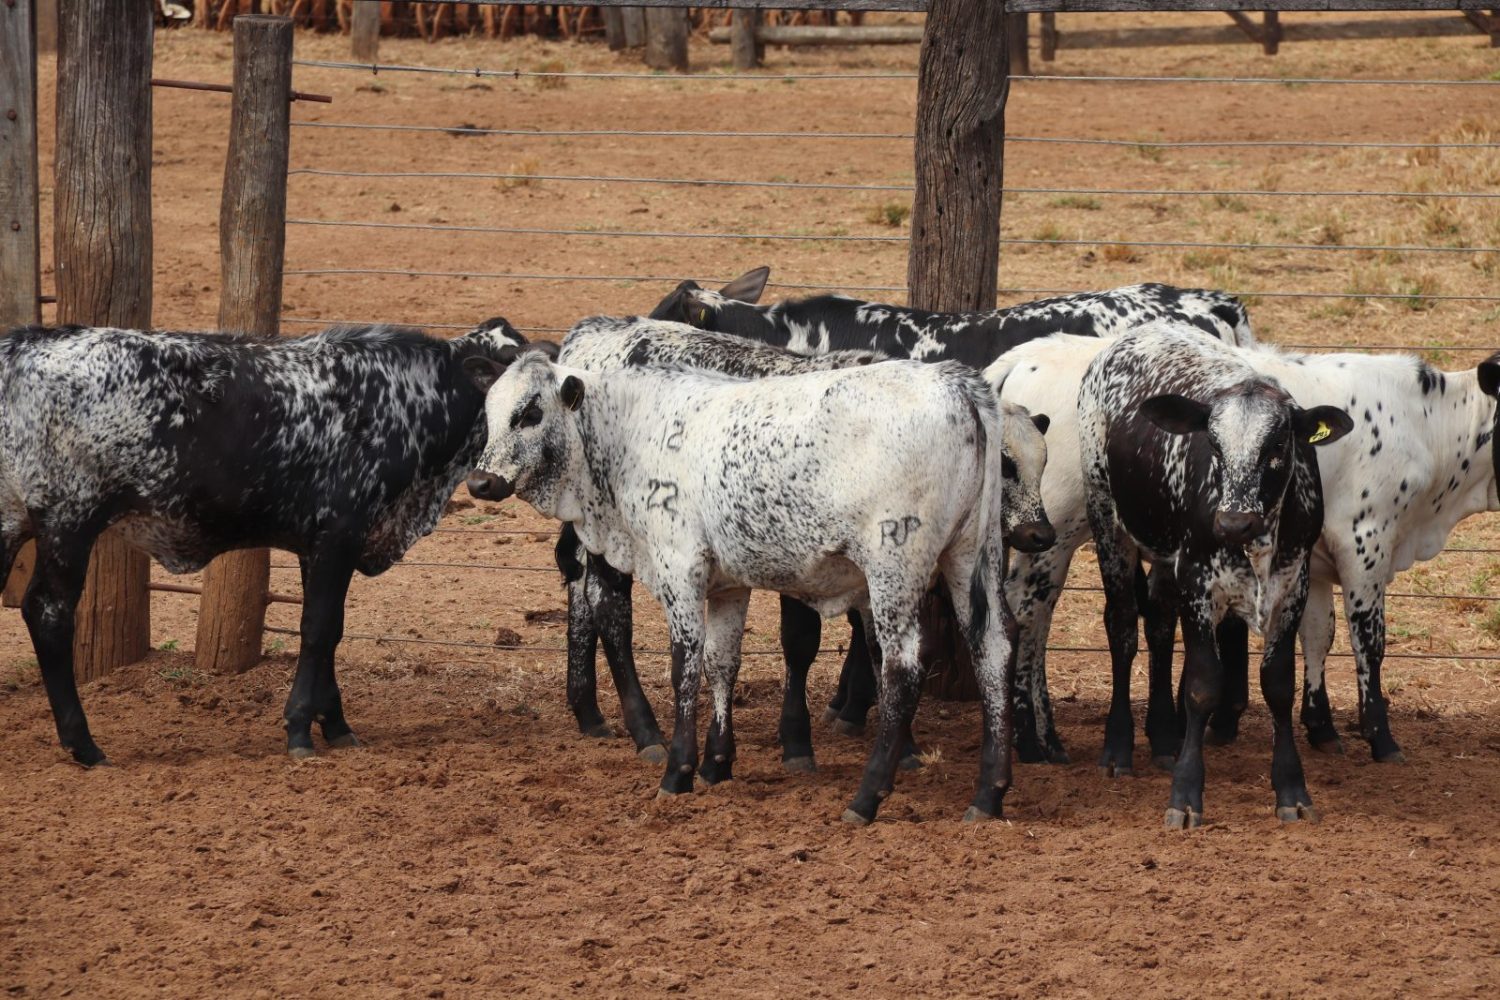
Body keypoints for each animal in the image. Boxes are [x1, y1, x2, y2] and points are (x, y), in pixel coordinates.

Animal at [0, 320, 528, 767]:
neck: (408, 397)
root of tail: (24, 343)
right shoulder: (340, 533)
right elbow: (318, 630)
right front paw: (299, 730)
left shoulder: (319, 546)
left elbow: (329, 630)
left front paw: (336, 726)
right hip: (69, 521)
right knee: (48, 613)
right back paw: (84, 744)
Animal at [462, 347, 1014, 827]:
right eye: (489, 412)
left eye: (530, 413)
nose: (480, 483)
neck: (629, 433)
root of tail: (955, 383)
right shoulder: (728, 587)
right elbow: (721, 664)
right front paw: (717, 764)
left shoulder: (679, 567)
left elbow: (685, 666)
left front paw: (679, 771)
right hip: (972, 557)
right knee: (994, 652)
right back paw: (989, 793)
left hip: (895, 568)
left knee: (902, 667)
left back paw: (867, 796)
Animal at [546, 316, 1050, 779]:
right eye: (1005, 463)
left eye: (1042, 462)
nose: (1039, 533)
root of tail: (595, 332)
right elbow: (802, 643)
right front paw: (798, 741)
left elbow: (873, 645)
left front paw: (892, 739)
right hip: (611, 543)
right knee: (607, 606)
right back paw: (643, 730)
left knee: (582, 599)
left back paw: (587, 709)